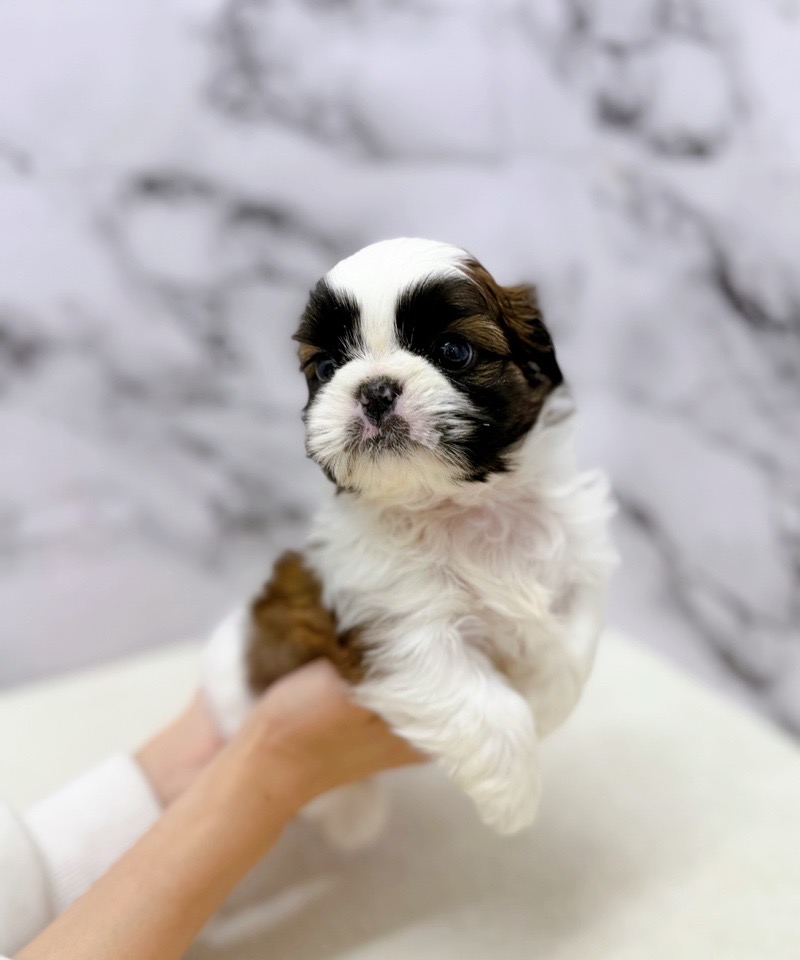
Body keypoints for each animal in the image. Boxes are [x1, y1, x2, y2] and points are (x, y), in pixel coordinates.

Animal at [203, 237, 617, 848]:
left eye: (454, 351)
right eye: (327, 367)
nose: (375, 389)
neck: (458, 504)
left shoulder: (577, 559)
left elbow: (570, 654)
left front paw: (546, 704)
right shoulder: (398, 622)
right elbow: (482, 703)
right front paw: (514, 795)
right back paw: (349, 812)